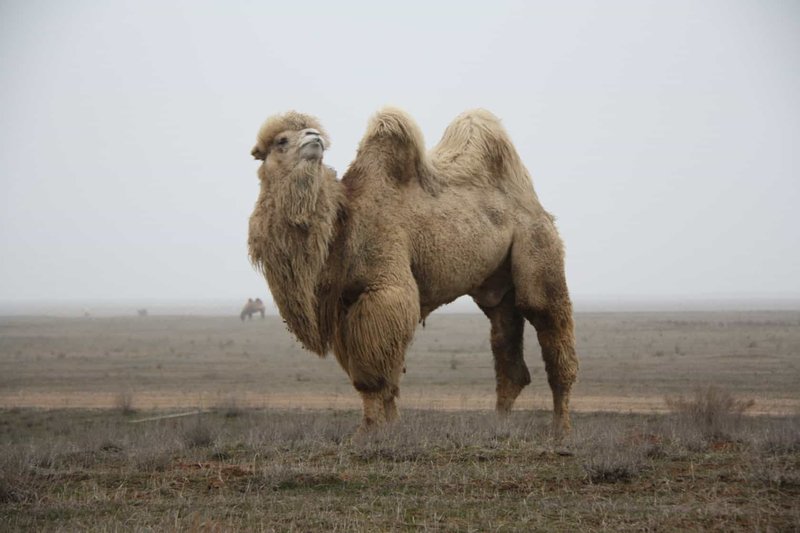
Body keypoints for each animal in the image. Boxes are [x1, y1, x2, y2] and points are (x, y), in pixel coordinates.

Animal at [248, 108, 578, 436]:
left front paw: (368, 430)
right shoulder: (344, 307)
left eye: (312, 135)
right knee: (506, 344)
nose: (314, 138)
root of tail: (537, 207)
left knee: (547, 321)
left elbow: (372, 374)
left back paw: (560, 428)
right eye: (281, 141)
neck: (343, 226)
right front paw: (391, 426)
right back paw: (499, 425)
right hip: (497, 287)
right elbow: (385, 376)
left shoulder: (385, 290)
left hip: (536, 242)